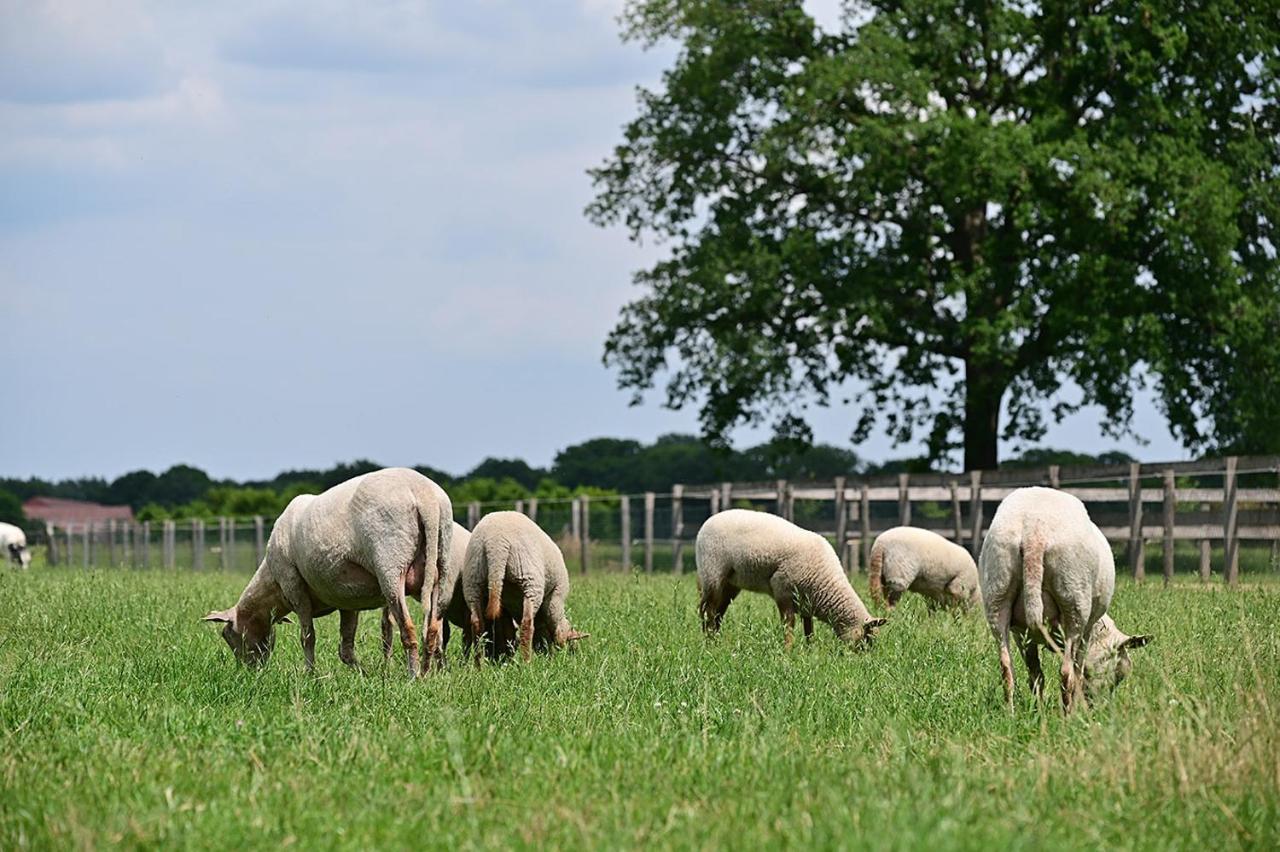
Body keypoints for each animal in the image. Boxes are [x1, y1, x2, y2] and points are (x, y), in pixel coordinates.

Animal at [202, 468, 453, 675]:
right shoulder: (348, 599)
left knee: (408, 628)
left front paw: (310, 675)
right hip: (440, 563)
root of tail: (426, 497)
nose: (247, 672)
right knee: (433, 629)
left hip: (390, 564)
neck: (272, 589)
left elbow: (307, 637)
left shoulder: (294, 587)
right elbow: (346, 649)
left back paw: (413, 677)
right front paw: (366, 675)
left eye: (227, 635)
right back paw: (428, 673)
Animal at [460, 506, 588, 660]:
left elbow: (508, 632)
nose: (575, 654)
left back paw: (480, 663)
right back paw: (526, 661)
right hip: (530, 579)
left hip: (473, 580)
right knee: (527, 624)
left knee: (477, 623)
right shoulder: (555, 597)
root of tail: (495, 542)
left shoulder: (505, 608)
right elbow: (558, 630)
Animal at [696, 506, 885, 647]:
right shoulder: (782, 589)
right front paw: (788, 651)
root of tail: (706, 523)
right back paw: (711, 642)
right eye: (867, 638)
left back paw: (714, 641)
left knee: (718, 612)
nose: (865, 660)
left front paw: (810, 650)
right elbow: (789, 625)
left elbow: (809, 629)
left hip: (731, 583)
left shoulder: (806, 601)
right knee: (709, 611)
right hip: (712, 572)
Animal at [972, 483, 1157, 711]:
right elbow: (1078, 669)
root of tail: (1034, 529)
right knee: (1066, 673)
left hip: (997, 595)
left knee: (1007, 670)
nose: (1099, 706)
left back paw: (1011, 712)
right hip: (1074, 601)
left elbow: (1035, 674)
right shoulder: (1087, 630)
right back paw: (1068, 714)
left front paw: (1039, 708)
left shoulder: (1020, 633)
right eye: (1119, 674)